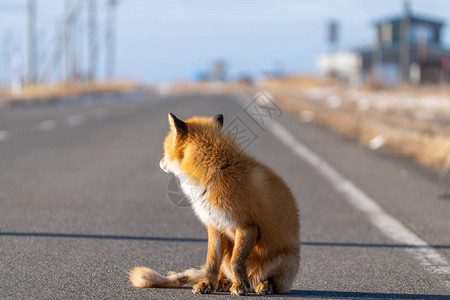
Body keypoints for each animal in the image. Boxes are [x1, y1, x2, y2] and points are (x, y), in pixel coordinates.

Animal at [128, 112, 300, 296]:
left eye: (165, 150)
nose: (160, 161)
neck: (217, 171)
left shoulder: (247, 226)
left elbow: (237, 261)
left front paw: (240, 286)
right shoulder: (214, 225)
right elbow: (211, 263)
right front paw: (207, 284)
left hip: (282, 260)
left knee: (271, 281)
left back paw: (263, 285)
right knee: (223, 271)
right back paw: (223, 283)